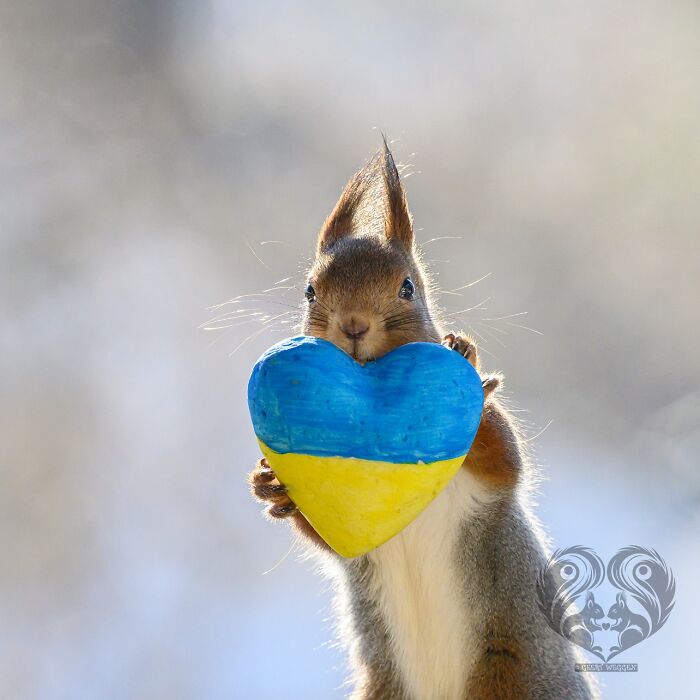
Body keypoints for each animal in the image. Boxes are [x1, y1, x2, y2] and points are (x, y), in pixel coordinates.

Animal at [249, 142, 599, 700]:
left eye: (408, 288)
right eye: (309, 291)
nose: (353, 325)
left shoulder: (487, 489)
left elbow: (507, 460)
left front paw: (467, 366)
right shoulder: (351, 534)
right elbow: (324, 532)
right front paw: (270, 484)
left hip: (515, 675)